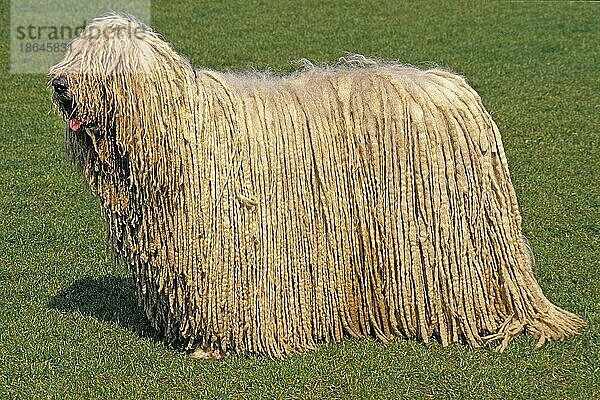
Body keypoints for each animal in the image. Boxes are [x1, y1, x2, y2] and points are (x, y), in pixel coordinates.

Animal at [49, 14, 584, 358]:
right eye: (73, 53)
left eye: (99, 59)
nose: (58, 82)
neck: (175, 129)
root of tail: (455, 90)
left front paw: (213, 348)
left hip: (451, 234)